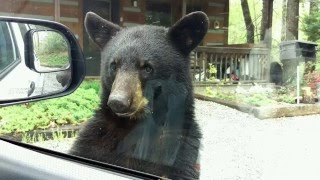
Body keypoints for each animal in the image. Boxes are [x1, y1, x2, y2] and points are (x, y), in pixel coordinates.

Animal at [70, 11, 209, 179]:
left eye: (147, 68)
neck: (136, 123)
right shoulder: (96, 138)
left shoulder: (180, 150)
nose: (118, 101)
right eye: (114, 65)